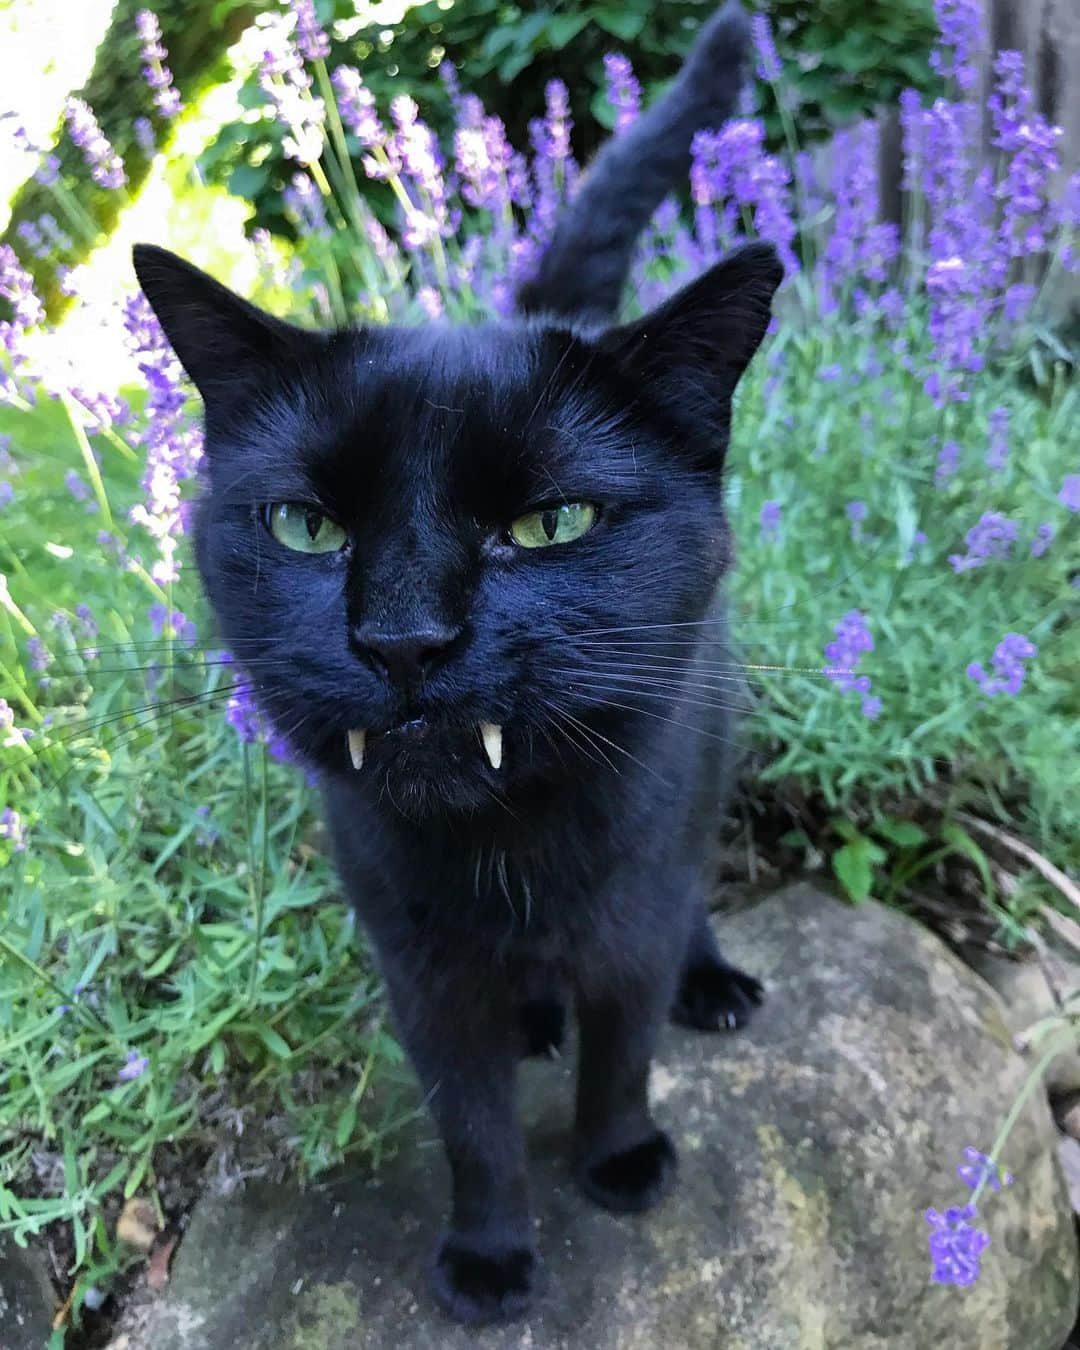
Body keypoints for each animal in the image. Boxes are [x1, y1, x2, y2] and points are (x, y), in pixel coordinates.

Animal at [135, 0, 783, 1323]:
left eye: (549, 525)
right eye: (306, 527)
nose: (403, 636)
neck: (507, 855)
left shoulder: (630, 914)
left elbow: (624, 1051)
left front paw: (616, 1163)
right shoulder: (418, 965)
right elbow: (472, 1125)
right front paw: (488, 1258)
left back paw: (710, 983)